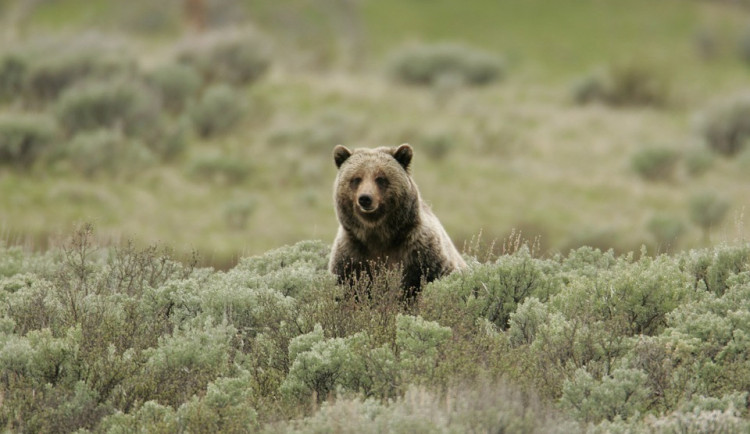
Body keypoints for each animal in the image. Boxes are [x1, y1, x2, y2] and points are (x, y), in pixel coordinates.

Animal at [328, 143, 466, 295]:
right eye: (356, 178)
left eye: (380, 178)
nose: (365, 198)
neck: (379, 235)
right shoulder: (351, 256)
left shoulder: (422, 253)